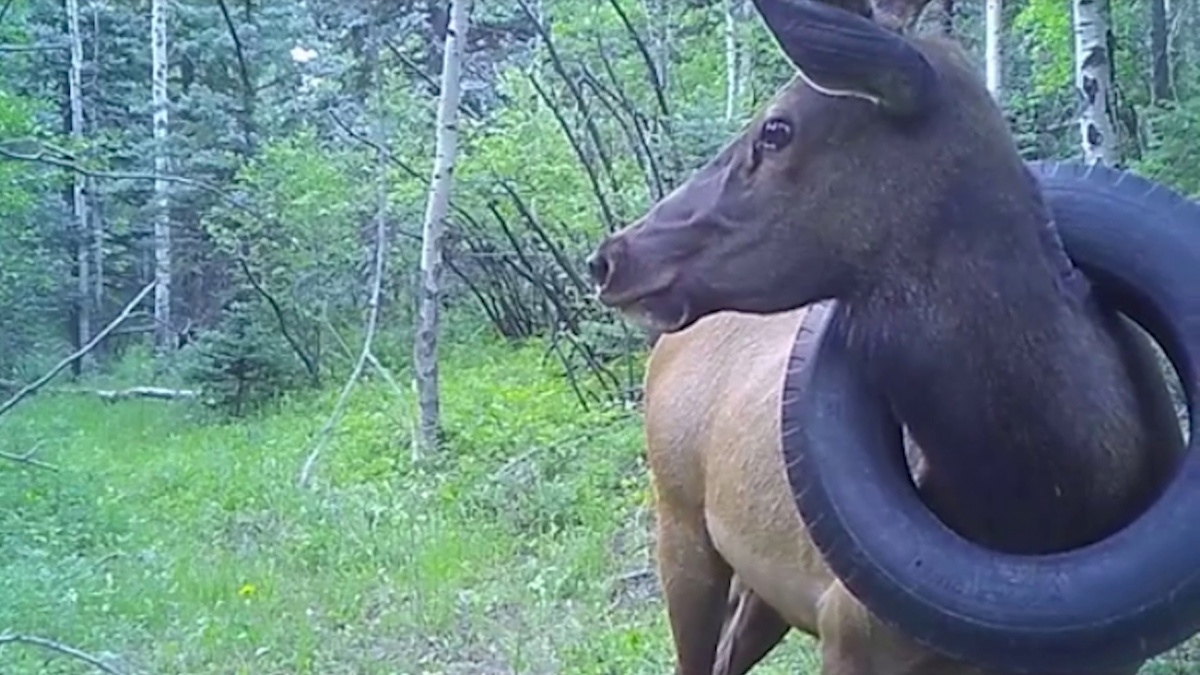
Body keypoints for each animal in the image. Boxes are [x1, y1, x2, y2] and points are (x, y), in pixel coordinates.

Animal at [584, 1, 1200, 674]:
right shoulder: (852, 631)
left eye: (776, 130)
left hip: (759, 587)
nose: (610, 257)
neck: (1052, 487)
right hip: (680, 525)